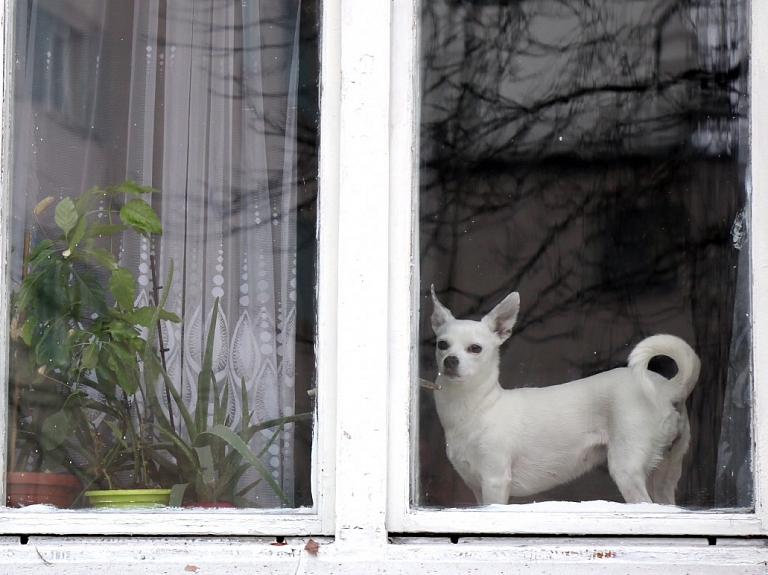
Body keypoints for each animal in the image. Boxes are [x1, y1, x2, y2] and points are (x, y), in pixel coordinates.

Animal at [432, 286, 704, 506]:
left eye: (475, 349)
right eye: (442, 345)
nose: (450, 360)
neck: (478, 407)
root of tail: (666, 388)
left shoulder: (494, 481)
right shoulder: (478, 489)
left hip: (626, 468)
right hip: (666, 473)